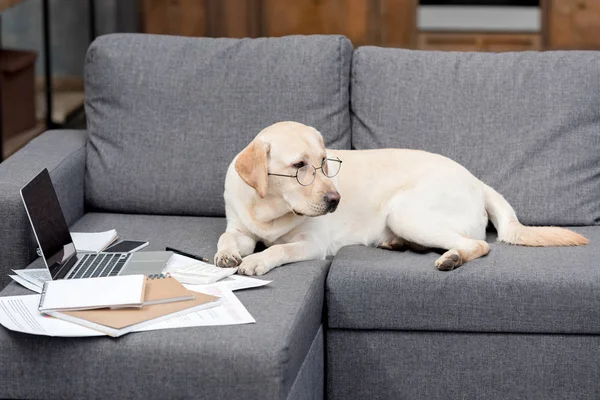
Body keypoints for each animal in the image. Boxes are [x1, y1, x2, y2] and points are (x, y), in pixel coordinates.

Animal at [213, 120, 588, 276]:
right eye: (299, 166)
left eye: (324, 162)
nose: (335, 200)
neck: (269, 208)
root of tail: (477, 182)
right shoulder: (240, 229)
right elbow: (226, 238)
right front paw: (228, 255)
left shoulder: (311, 244)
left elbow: (279, 248)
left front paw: (258, 261)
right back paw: (397, 244)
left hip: (405, 213)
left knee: (477, 245)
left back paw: (451, 258)